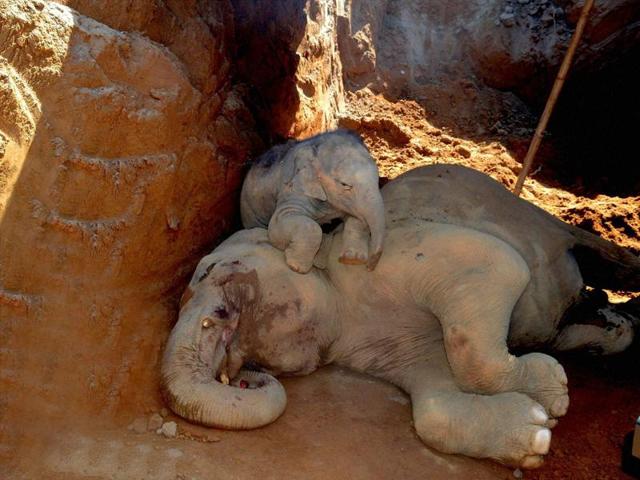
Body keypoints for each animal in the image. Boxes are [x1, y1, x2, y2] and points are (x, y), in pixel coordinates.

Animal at [162, 164, 640, 468]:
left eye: (208, 270)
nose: (247, 378)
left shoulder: (385, 257)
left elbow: (499, 265)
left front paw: (554, 396)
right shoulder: (378, 346)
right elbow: (434, 401)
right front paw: (537, 432)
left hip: (533, 217)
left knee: (589, 248)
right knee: (573, 318)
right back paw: (616, 329)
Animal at [240, 129, 385, 273]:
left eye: (378, 179)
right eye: (344, 184)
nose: (369, 267)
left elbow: (357, 219)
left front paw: (352, 259)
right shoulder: (293, 190)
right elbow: (282, 223)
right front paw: (297, 267)